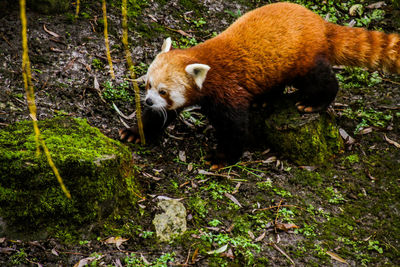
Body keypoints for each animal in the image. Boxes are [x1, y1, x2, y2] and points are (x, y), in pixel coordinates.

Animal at [120, 3, 400, 166]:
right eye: (148, 86)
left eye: (163, 91)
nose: (148, 101)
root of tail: (320, 22)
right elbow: (162, 116)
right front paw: (136, 132)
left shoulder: (227, 91)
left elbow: (235, 128)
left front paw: (222, 157)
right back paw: (265, 99)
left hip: (303, 59)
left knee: (322, 80)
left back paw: (314, 102)